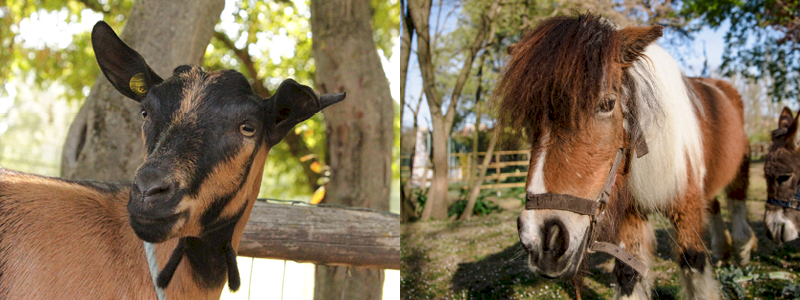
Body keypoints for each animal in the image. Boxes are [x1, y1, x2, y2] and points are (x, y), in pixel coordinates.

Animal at [500, 14, 756, 300]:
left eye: (607, 104)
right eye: (531, 119)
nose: (540, 240)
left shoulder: (686, 207)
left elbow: (694, 265)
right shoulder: (631, 215)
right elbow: (627, 274)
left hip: (740, 170)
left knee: (736, 202)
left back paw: (743, 249)